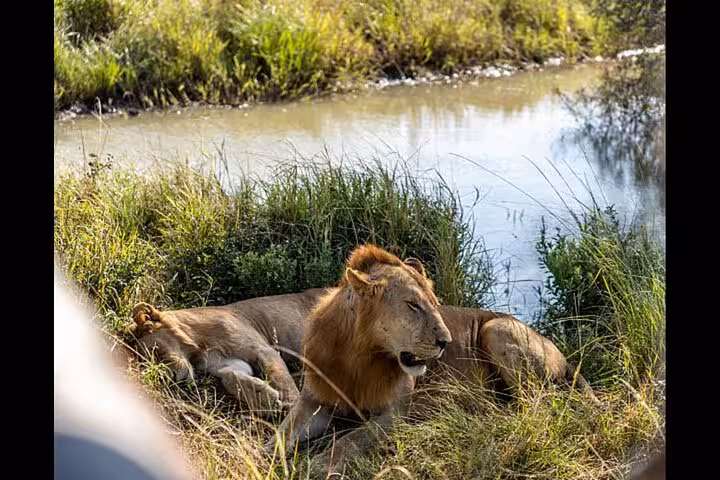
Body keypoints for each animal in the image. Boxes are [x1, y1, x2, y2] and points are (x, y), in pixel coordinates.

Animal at [128, 289, 329, 414]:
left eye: (156, 352)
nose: (167, 379)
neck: (199, 348)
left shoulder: (264, 350)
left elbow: (279, 377)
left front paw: (291, 406)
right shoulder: (227, 364)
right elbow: (230, 378)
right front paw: (264, 399)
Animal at [267, 245, 599, 476]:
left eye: (436, 305)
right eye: (413, 305)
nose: (446, 342)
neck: (360, 353)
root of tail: (563, 356)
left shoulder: (396, 412)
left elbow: (353, 438)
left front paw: (319, 463)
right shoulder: (314, 401)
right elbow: (282, 433)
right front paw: (265, 455)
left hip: (496, 329)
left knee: (536, 407)